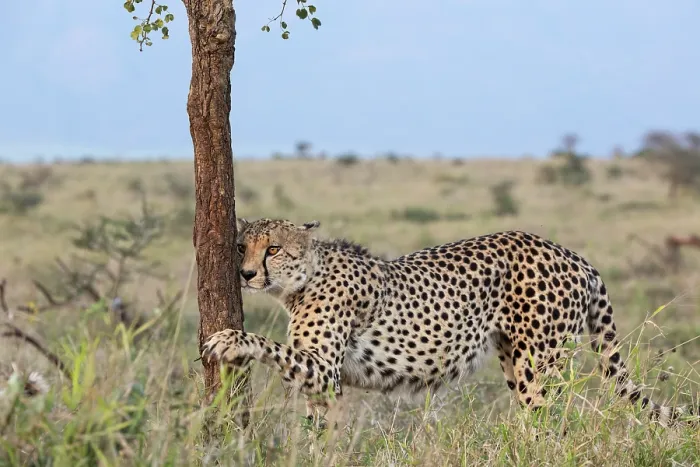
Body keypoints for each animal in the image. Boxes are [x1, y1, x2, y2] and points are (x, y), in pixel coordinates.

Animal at [201, 217, 698, 428]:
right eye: (242, 246)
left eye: (272, 249)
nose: (246, 274)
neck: (305, 277)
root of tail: (570, 252)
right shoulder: (321, 382)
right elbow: (316, 428)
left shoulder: (324, 367)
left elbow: (266, 344)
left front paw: (228, 338)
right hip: (514, 359)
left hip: (540, 363)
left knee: (553, 418)